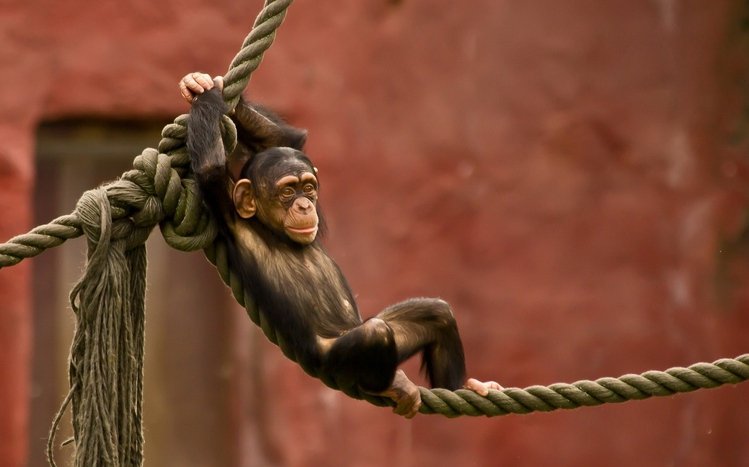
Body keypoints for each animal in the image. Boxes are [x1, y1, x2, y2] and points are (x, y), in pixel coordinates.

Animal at [180, 72, 500, 417]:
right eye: (287, 192)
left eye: (308, 187)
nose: (304, 205)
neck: (274, 232)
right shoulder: (228, 210)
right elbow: (210, 169)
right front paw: (203, 95)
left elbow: (288, 141)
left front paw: (210, 89)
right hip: (336, 362)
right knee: (376, 334)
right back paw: (391, 384)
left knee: (435, 313)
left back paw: (465, 386)